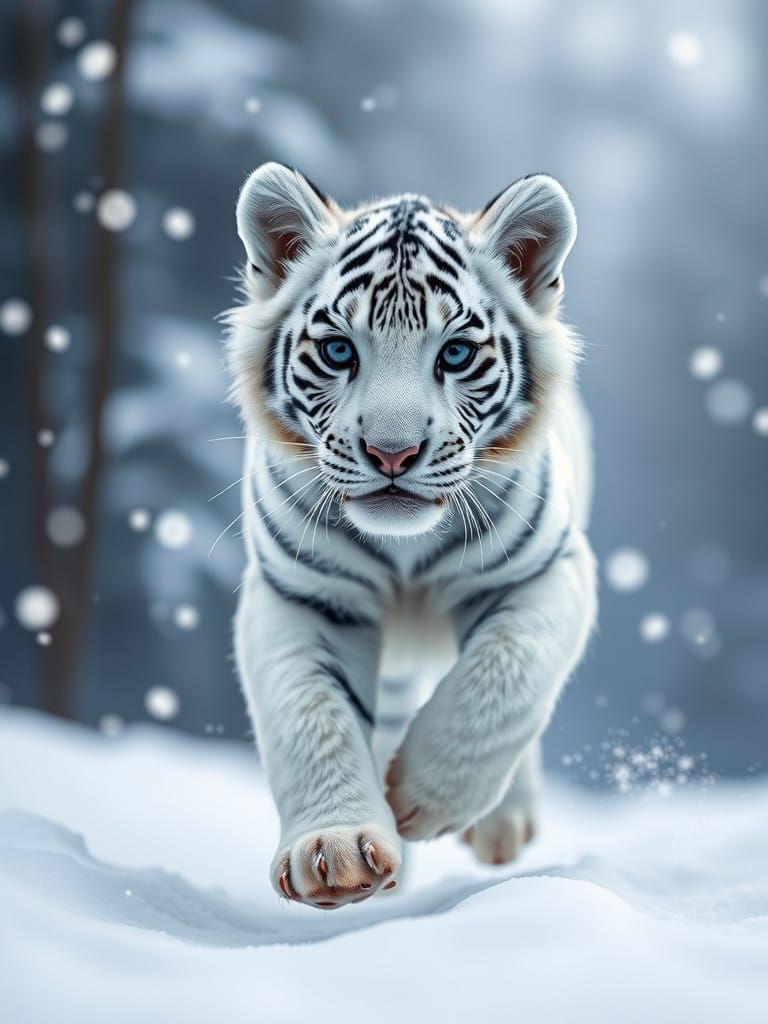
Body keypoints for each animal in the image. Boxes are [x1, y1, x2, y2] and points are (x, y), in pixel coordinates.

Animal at [226, 162, 597, 910]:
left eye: (455, 353)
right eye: (338, 349)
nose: (391, 453)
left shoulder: (546, 568)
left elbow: (506, 672)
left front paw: (420, 797)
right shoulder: (300, 595)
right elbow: (309, 711)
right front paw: (334, 854)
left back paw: (501, 822)